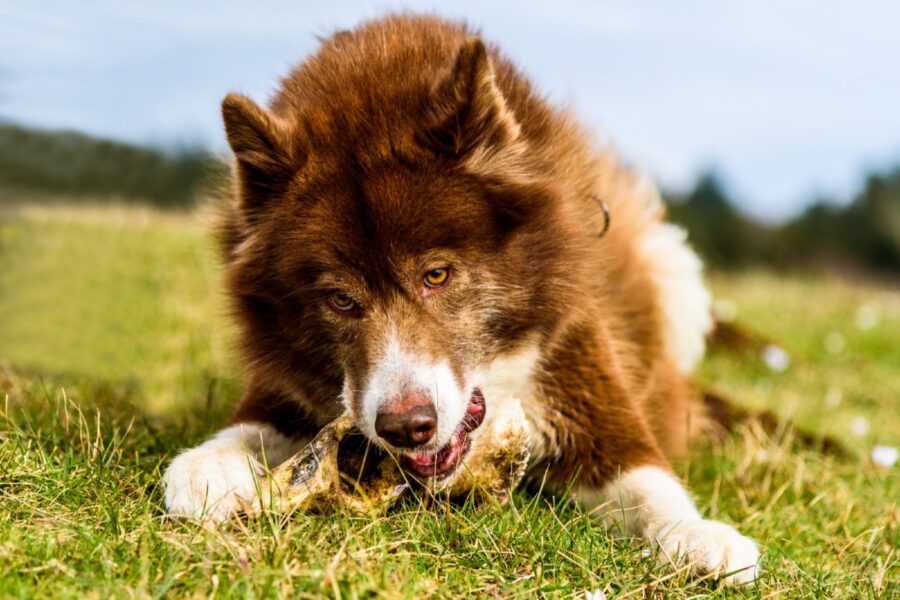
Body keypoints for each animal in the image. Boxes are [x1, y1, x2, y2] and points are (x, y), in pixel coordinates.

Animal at [162, 14, 760, 584]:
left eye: (437, 274)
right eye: (339, 300)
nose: (406, 427)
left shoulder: (582, 380)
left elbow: (648, 484)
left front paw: (701, 537)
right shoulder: (283, 383)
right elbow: (249, 428)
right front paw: (206, 467)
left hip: (673, 270)